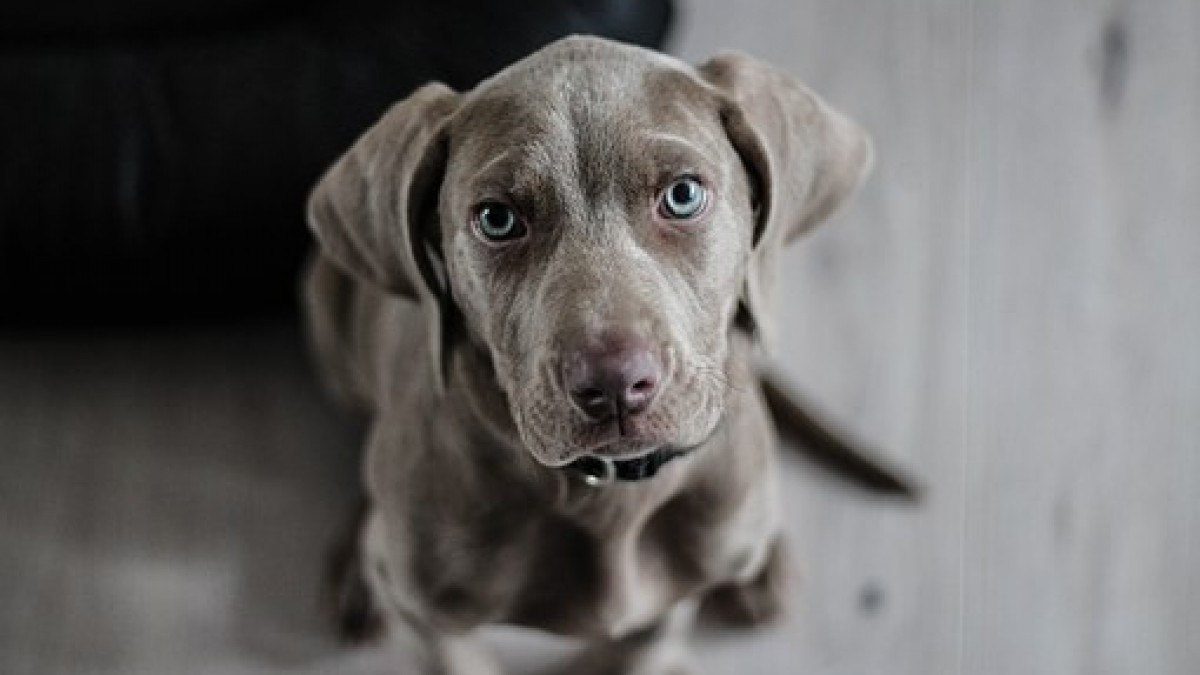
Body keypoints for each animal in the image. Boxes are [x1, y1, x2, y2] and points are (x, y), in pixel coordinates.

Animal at [304, 35, 873, 672]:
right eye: (497, 219)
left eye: (683, 195)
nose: (615, 385)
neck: (609, 496)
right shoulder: (430, 617)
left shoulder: (669, 604)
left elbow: (643, 647)